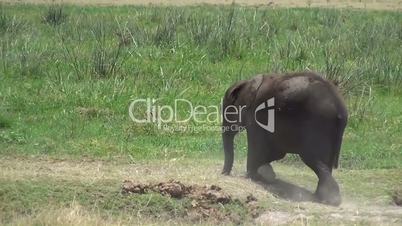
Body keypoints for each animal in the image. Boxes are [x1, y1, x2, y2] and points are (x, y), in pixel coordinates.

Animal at [221, 71, 348, 206]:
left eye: (227, 112)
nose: (224, 174)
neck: (247, 83)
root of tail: (340, 108)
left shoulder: (256, 114)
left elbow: (257, 145)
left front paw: (253, 175)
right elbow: (276, 152)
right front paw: (267, 175)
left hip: (318, 124)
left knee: (313, 158)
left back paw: (329, 199)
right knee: (324, 163)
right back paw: (322, 196)